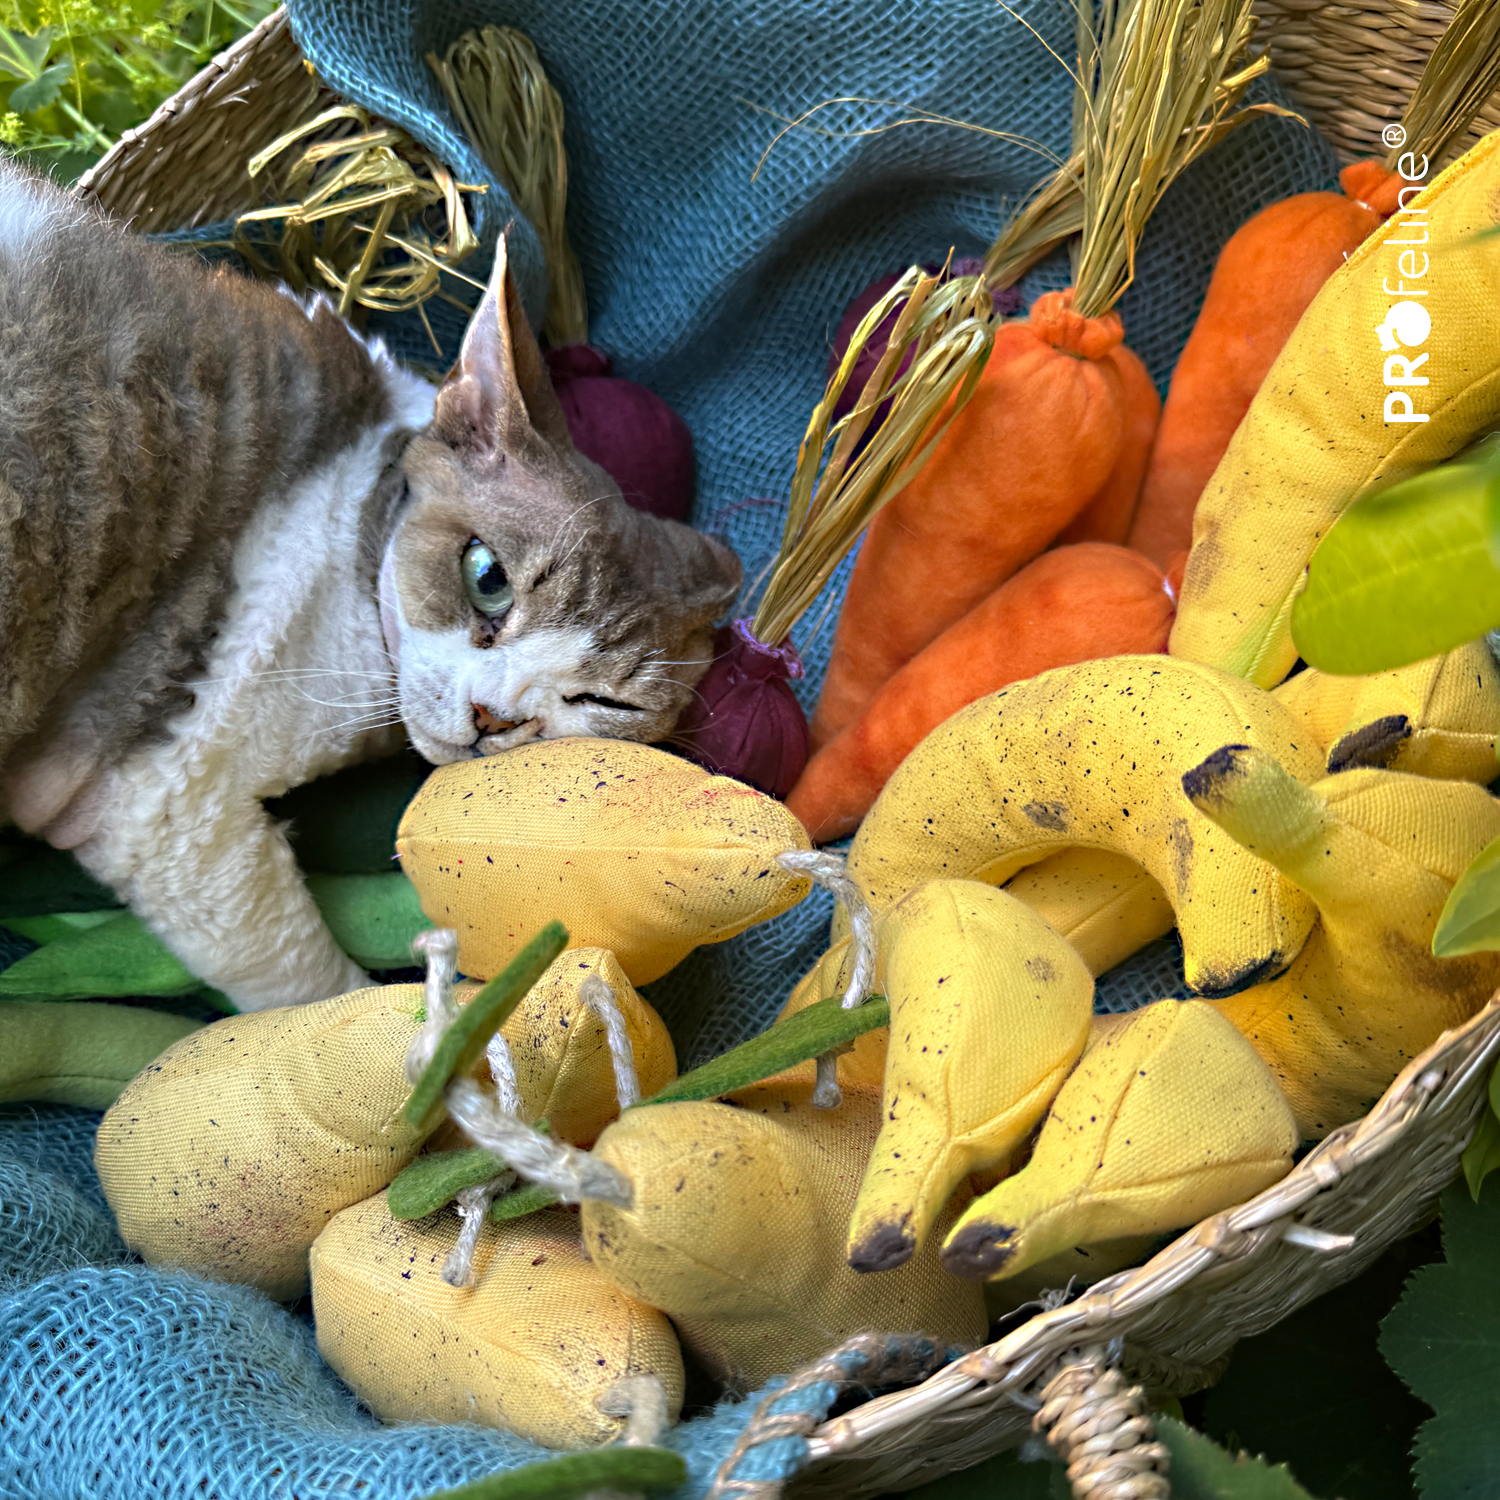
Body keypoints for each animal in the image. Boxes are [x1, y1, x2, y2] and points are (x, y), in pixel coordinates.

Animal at [0, 161, 741, 1008]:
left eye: (605, 704)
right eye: (487, 578)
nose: (495, 717)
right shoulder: (163, 804)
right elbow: (306, 990)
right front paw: (428, 1036)